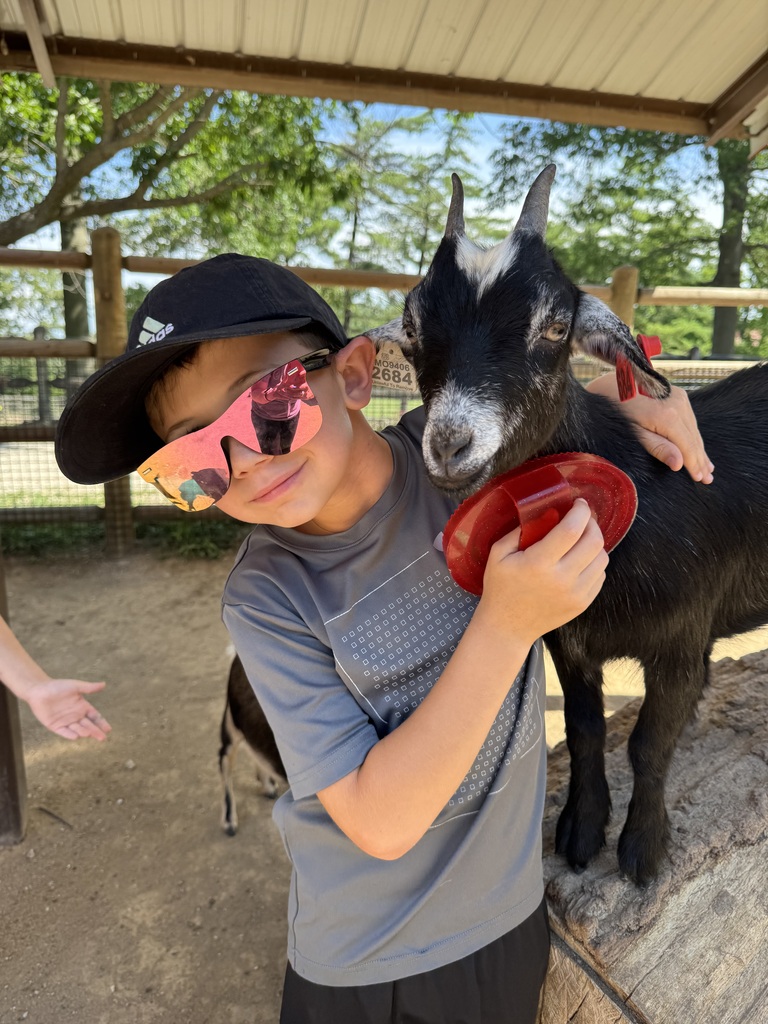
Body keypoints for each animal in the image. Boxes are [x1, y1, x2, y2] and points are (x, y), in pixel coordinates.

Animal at [369, 165, 768, 885]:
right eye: (412, 327)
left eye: (556, 326)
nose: (449, 445)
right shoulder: (569, 642)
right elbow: (586, 729)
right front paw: (581, 830)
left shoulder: (684, 642)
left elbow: (648, 743)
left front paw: (643, 848)